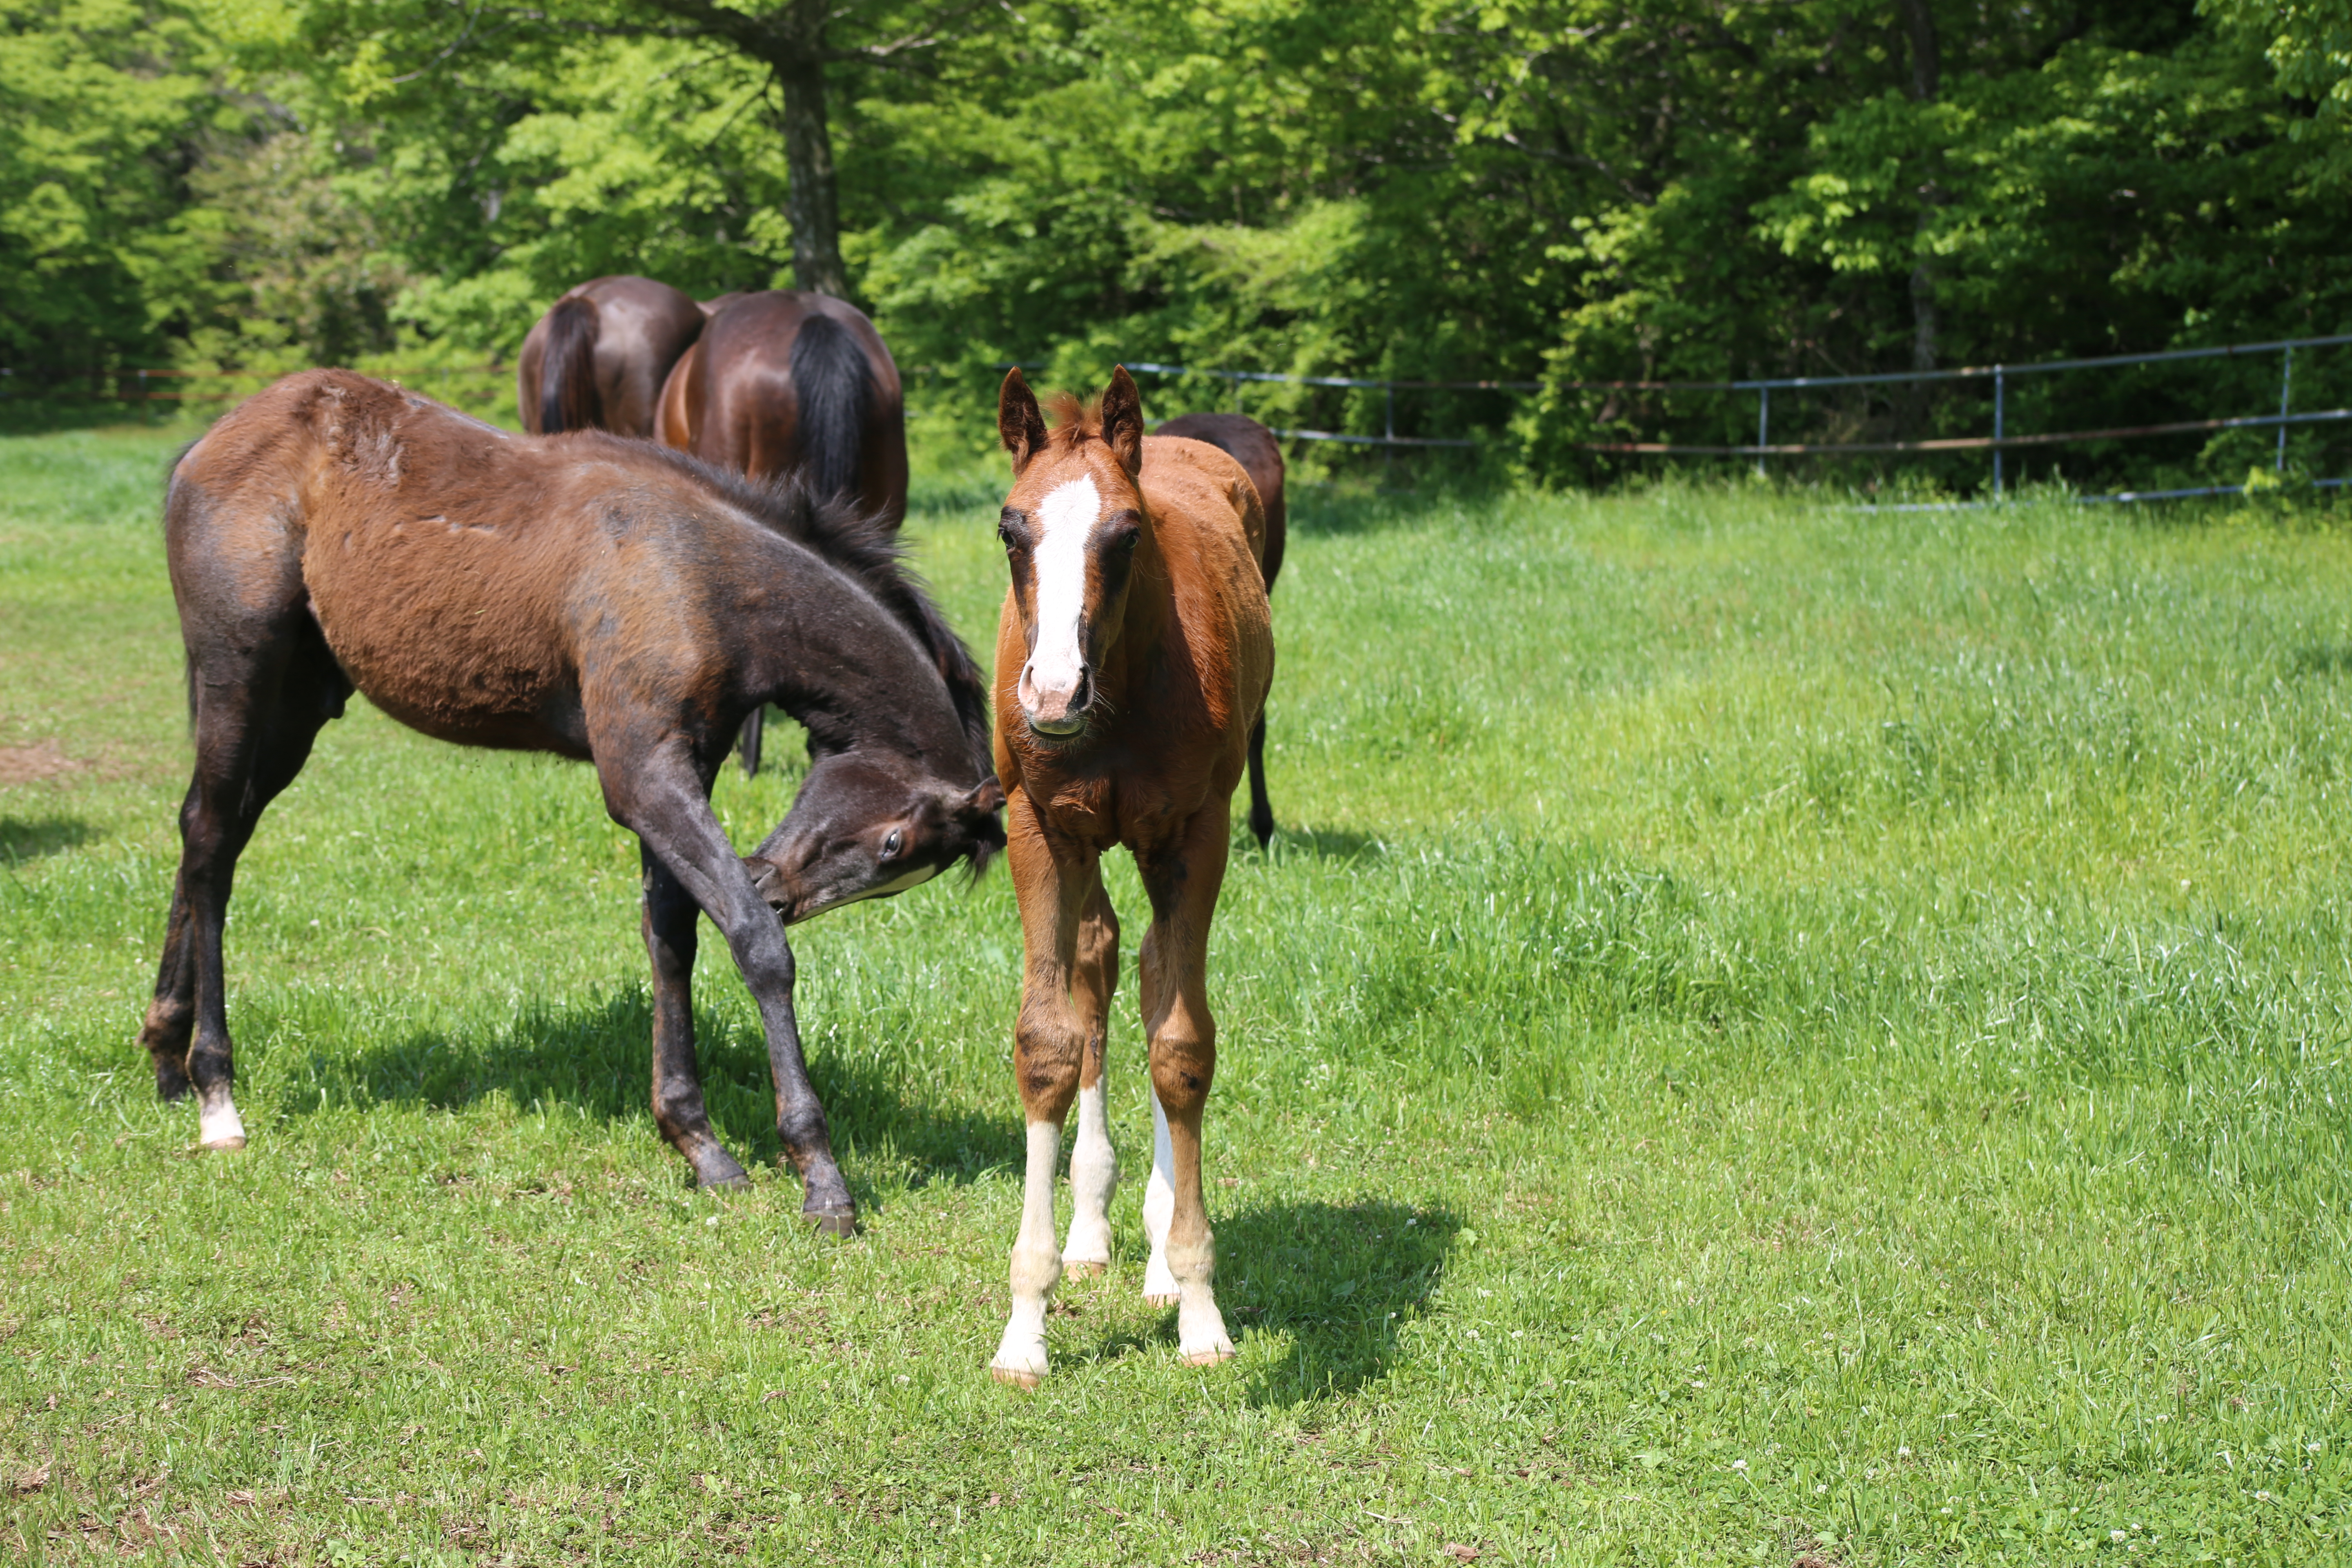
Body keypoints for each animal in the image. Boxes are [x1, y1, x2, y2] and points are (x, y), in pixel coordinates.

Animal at [137, 371, 1002, 1241]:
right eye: (894, 845)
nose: (779, 887)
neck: (704, 574)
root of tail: (211, 442)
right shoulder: (643, 777)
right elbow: (755, 944)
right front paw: (821, 1177)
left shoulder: (684, 763)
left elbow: (673, 936)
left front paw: (700, 1145)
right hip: (241, 672)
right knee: (210, 842)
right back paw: (215, 1095)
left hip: (302, 701)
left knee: (211, 832)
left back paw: (166, 1055)